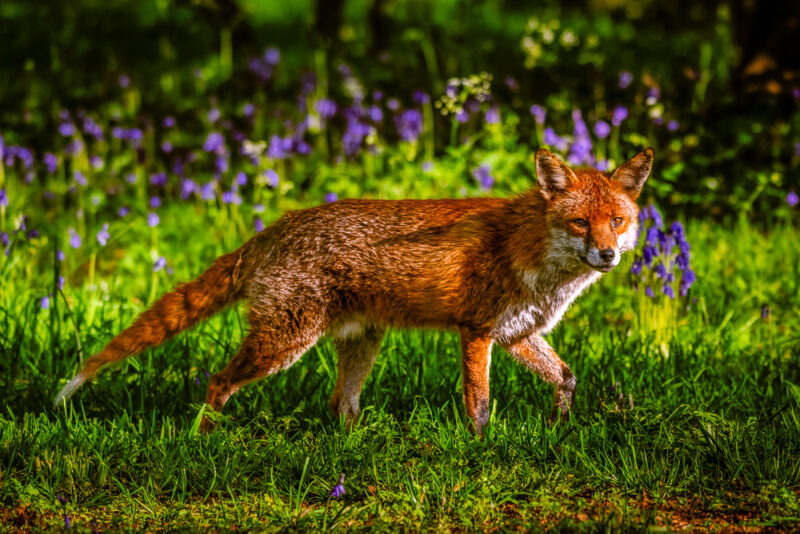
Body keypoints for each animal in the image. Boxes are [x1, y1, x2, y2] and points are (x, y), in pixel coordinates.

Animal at [54, 148, 653, 435]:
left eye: (618, 222)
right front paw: (481, 452)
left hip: (361, 342)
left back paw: (354, 450)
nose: (608, 255)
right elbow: (479, 405)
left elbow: (567, 378)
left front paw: (560, 431)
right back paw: (202, 441)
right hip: (283, 343)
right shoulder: (478, 331)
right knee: (219, 381)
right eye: (580, 223)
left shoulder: (518, 333)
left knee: (340, 403)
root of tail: (274, 229)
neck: (532, 254)